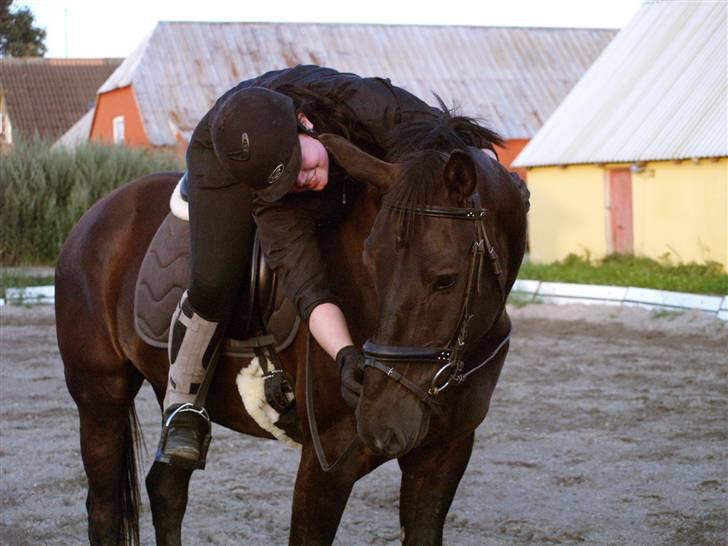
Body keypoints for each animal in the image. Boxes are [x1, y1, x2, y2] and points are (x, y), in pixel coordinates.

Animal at [55, 119, 528, 545]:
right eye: (370, 261)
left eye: (446, 279)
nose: (381, 421)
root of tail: (94, 217)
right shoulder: (326, 462)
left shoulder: (443, 456)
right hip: (100, 398)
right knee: (105, 511)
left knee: (166, 489)